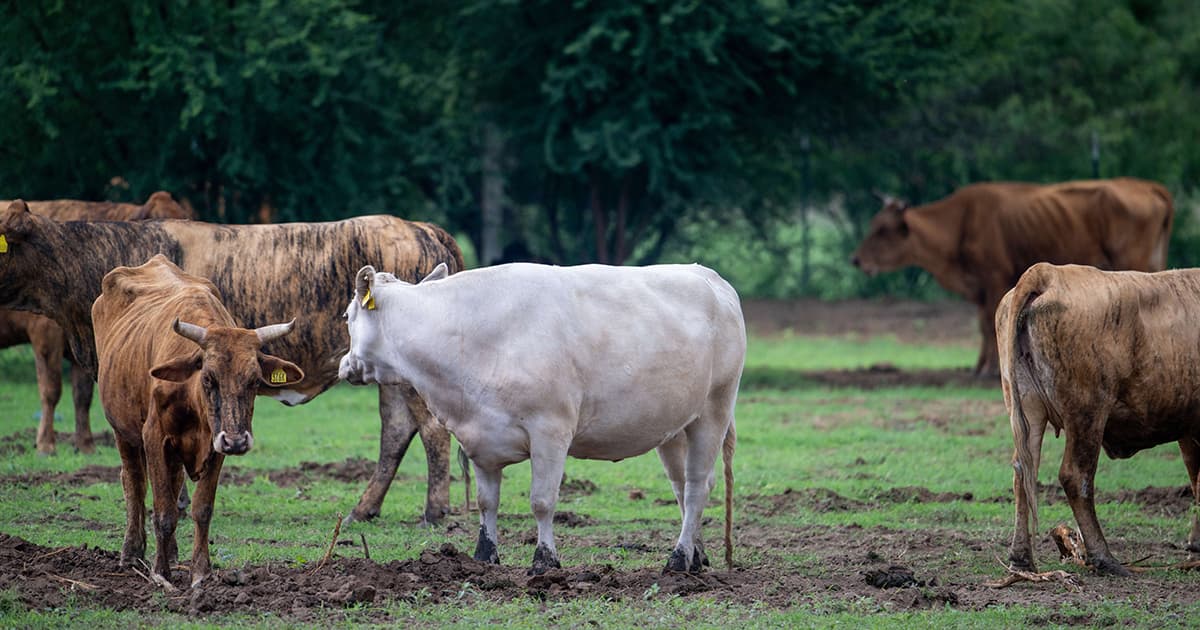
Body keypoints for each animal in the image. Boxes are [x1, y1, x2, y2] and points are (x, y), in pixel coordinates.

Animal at [93, 255, 304, 587]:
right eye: (208, 378)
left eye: (255, 380)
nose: (237, 441)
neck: (193, 401)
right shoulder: (155, 438)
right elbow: (163, 511)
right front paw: (161, 573)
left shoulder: (216, 445)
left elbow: (201, 508)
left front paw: (201, 572)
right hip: (122, 431)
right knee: (134, 484)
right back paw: (132, 552)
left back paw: (172, 551)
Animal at [338, 262, 744, 574]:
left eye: (346, 316)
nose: (344, 365)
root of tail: (709, 276)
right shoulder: (480, 438)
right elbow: (487, 502)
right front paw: (484, 556)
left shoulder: (550, 430)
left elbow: (542, 501)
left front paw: (544, 561)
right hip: (673, 427)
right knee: (684, 486)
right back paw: (696, 555)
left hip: (714, 410)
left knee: (696, 487)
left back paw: (678, 559)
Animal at [851, 178, 1173, 377]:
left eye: (882, 229)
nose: (857, 259)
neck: (960, 222)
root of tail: (1147, 186)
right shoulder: (980, 289)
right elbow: (982, 326)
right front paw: (979, 367)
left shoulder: (994, 280)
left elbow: (987, 323)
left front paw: (989, 369)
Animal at [998, 262, 1200, 576]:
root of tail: (1049, 272)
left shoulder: (1189, 430)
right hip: (1087, 413)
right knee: (1075, 475)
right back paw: (1104, 557)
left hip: (1026, 410)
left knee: (1023, 472)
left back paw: (1021, 558)